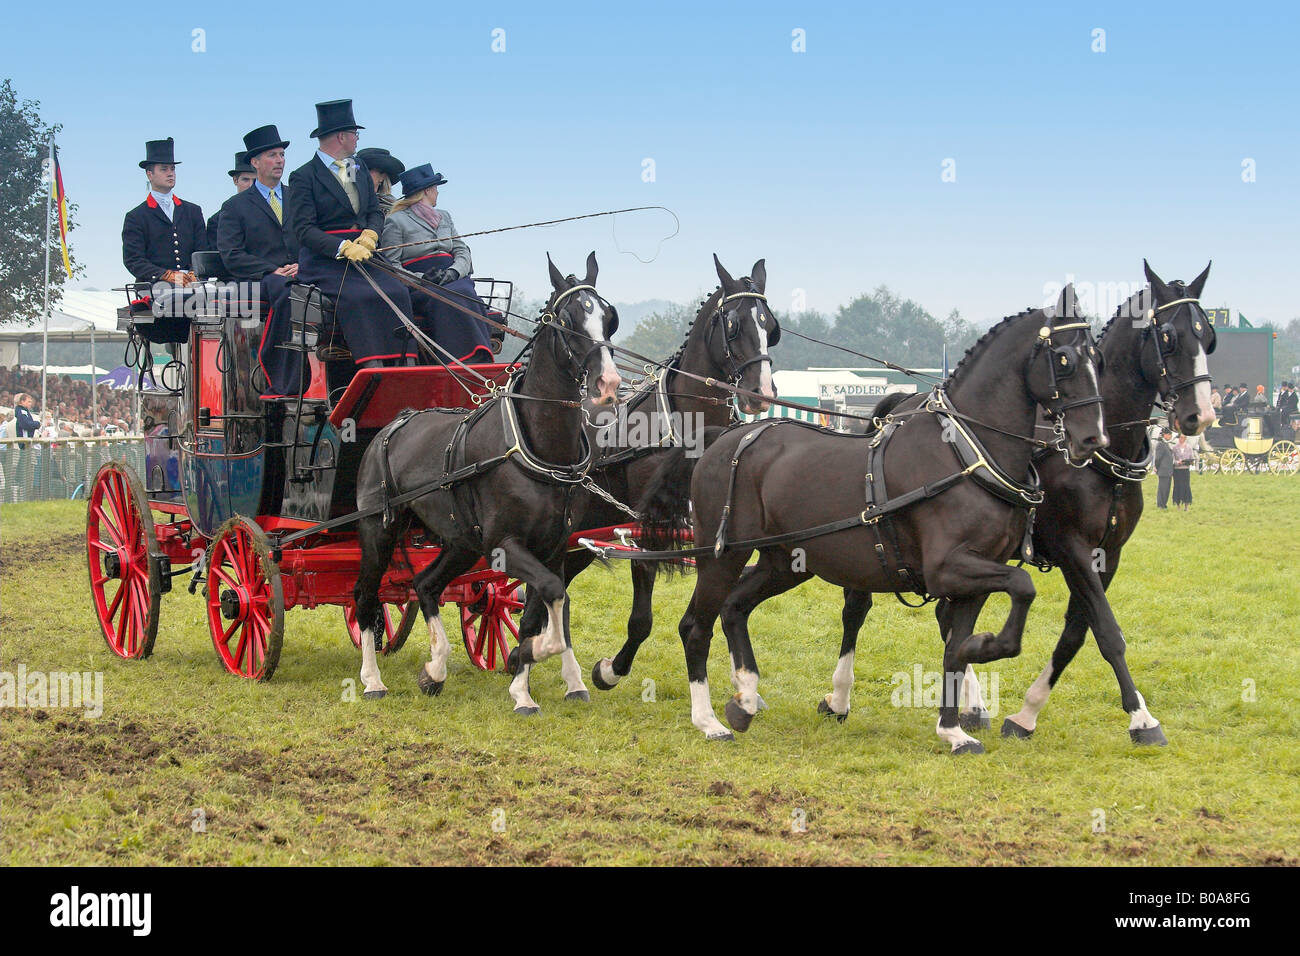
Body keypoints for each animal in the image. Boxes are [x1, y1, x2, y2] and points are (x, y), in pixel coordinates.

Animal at [353, 251, 621, 712]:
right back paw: (372, 680)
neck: (541, 448)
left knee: (425, 585)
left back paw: (435, 669)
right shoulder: (506, 545)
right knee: (367, 599)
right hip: (379, 530)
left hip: (461, 541)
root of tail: (394, 424)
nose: (609, 384)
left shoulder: (553, 547)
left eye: (608, 317)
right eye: (567, 320)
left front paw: (527, 685)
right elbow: (550, 599)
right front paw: (527, 660)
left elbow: (542, 609)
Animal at [512, 254, 780, 702]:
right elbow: (642, 620)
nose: (760, 392)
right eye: (733, 323)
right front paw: (610, 670)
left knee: (557, 590)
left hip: (581, 536)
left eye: (770, 325)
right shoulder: (643, 527)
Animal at [639, 283, 1107, 754]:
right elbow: (1022, 586)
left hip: (785, 562)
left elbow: (956, 649)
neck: (964, 454)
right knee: (695, 626)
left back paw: (746, 699)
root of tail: (723, 435)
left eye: (1097, 359)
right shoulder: (948, 569)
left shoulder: (977, 577)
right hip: (723, 556)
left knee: (734, 607)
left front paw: (953, 728)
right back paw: (708, 720)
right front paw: (986, 647)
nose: (1093, 438)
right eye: (1064, 359)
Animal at [821, 264, 1216, 749]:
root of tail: (905, 401)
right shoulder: (1072, 549)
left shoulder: (1108, 555)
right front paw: (1141, 718)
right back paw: (840, 697)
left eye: (1209, 336)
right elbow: (1107, 631)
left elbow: (1076, 633)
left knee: (946, 614)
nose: (1200, 415)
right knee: (858, 607)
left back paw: (971, 706)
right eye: (1168, 337)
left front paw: (1026, 714)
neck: (1104, 460)